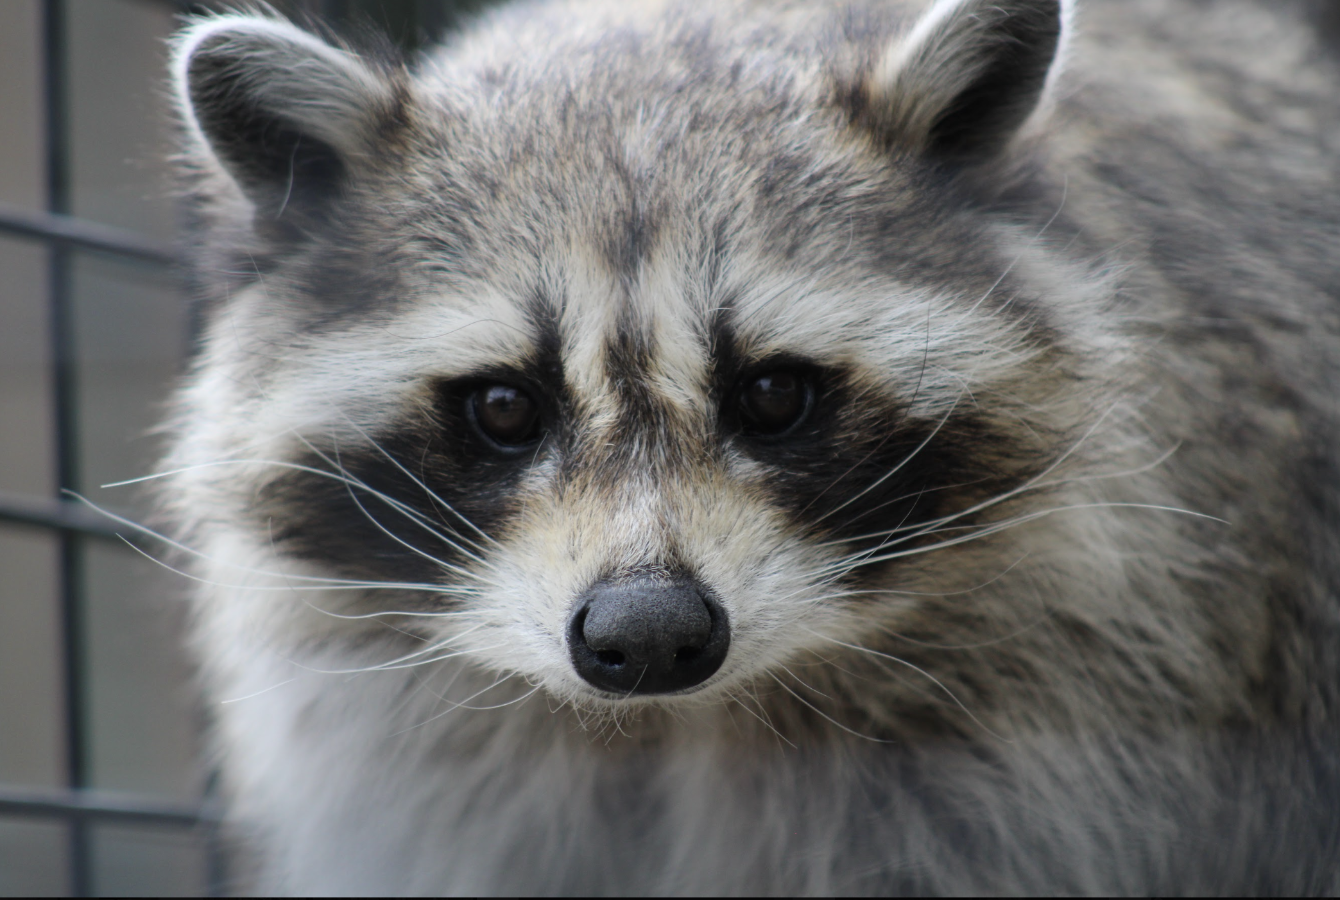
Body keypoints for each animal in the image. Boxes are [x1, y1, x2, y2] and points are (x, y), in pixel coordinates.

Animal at [162, 0, 1340, 893]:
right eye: (502, 408)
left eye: (773, 394)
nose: (646, 637)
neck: (671, 724)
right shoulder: (402, 744)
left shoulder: (1091, 692)